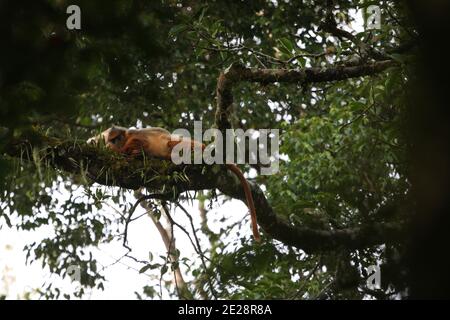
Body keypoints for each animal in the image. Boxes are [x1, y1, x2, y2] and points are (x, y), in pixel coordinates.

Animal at [87, 126, 260, 241]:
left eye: (117, 138)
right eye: (113, 139)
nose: (114, 143)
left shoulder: (134, 136)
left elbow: (142, 142)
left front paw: (129, 151)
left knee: (171, 145)